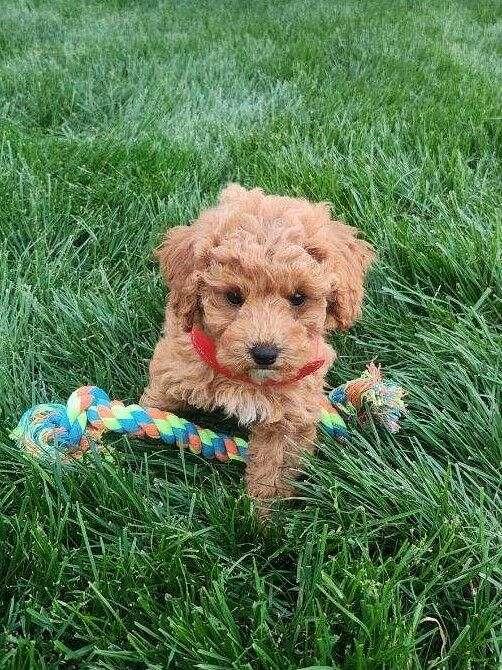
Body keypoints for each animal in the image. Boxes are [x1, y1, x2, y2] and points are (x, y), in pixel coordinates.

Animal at [140, 184, 372, 516]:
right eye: (233, 297)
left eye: (298, 298)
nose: (265, 353)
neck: (244, 379)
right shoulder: (177, 364)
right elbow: (155, 403)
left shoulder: (290, 414)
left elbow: (272, 470)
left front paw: (262, 519)